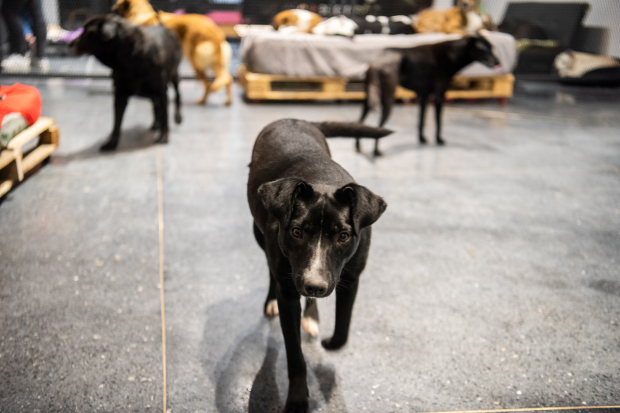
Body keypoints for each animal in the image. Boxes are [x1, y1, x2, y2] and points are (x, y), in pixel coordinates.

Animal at [71, 14, 182, 151]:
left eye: (88, 32)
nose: (69, 44)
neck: (131, 57)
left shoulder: (161, 91)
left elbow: (165, 115)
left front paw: (164, 137)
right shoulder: (120, 94)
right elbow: (116, 123)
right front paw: (111, 143)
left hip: (174, 75)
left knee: (177, 95)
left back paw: (177, 117)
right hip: (151, 93)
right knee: (155, 105)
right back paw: (155, 124)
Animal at [246, 117, 388, 410]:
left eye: (343, 235)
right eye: (297, 231)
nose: (315, 286)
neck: (322, 179)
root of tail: (297, 119)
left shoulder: (351, 278)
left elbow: (343, 328)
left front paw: (331, 343)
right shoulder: (289, 292)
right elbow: (295, 355)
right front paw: (298, 399)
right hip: (259, 234)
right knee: (269, 268)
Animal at [358, 33, 498, 153]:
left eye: (492, 47)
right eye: (483, 48)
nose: (498, 62)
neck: (451, 54)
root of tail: (376, 60)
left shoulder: (424, 96)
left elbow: (421, 120)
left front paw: (422, 138)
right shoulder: (439, 95)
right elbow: (438, 120)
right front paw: (439, 139)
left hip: (368, 99)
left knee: (360, 121)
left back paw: (358, 146)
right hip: (387, 97)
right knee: (379, 125)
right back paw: (376, 151)